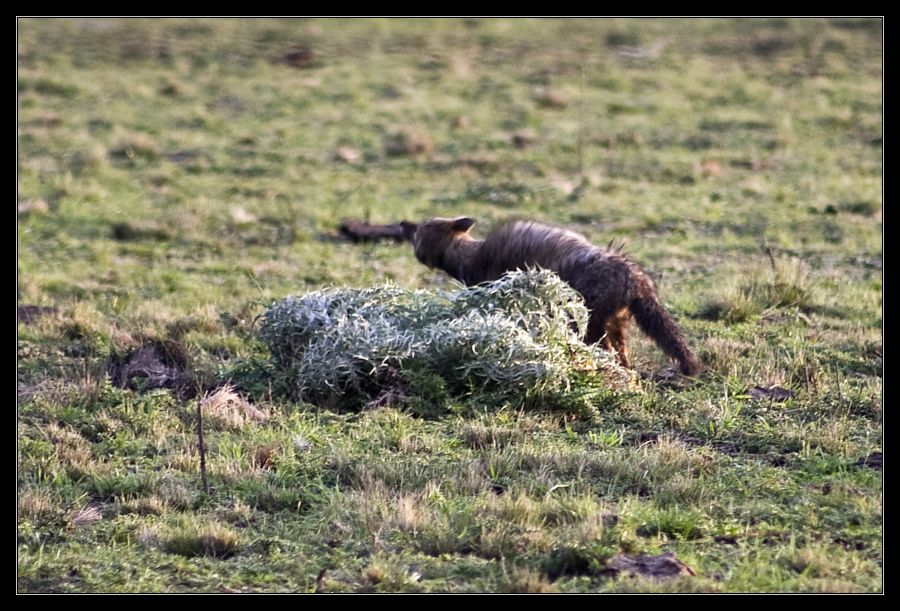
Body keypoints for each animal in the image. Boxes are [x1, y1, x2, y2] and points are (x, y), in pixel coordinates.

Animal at [402, 218, 704, 376]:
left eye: (421, 228)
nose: (404, 224)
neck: (469, 256)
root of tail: (636, 278)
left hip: (594, 321)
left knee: (607, 351)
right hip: (616, 322)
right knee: (622, 354)